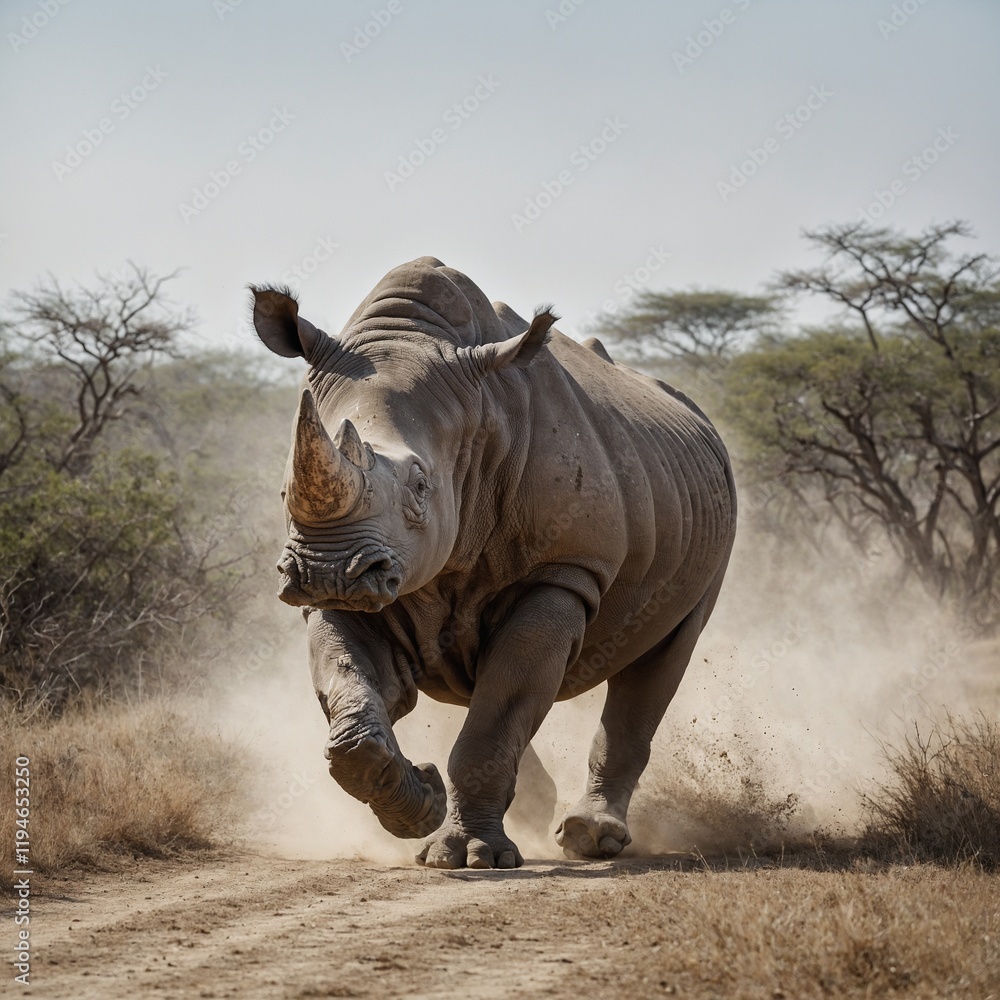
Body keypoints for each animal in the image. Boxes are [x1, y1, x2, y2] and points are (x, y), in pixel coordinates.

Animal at [250, 257, 736, 869]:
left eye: (420, 486)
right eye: (284, 491)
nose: (324, 570)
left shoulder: (564, 571)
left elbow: (494, 720)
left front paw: (467, 856)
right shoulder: (352, 590)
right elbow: (356, 710)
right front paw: (422, 802)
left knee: (660, 659)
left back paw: (588, 839)